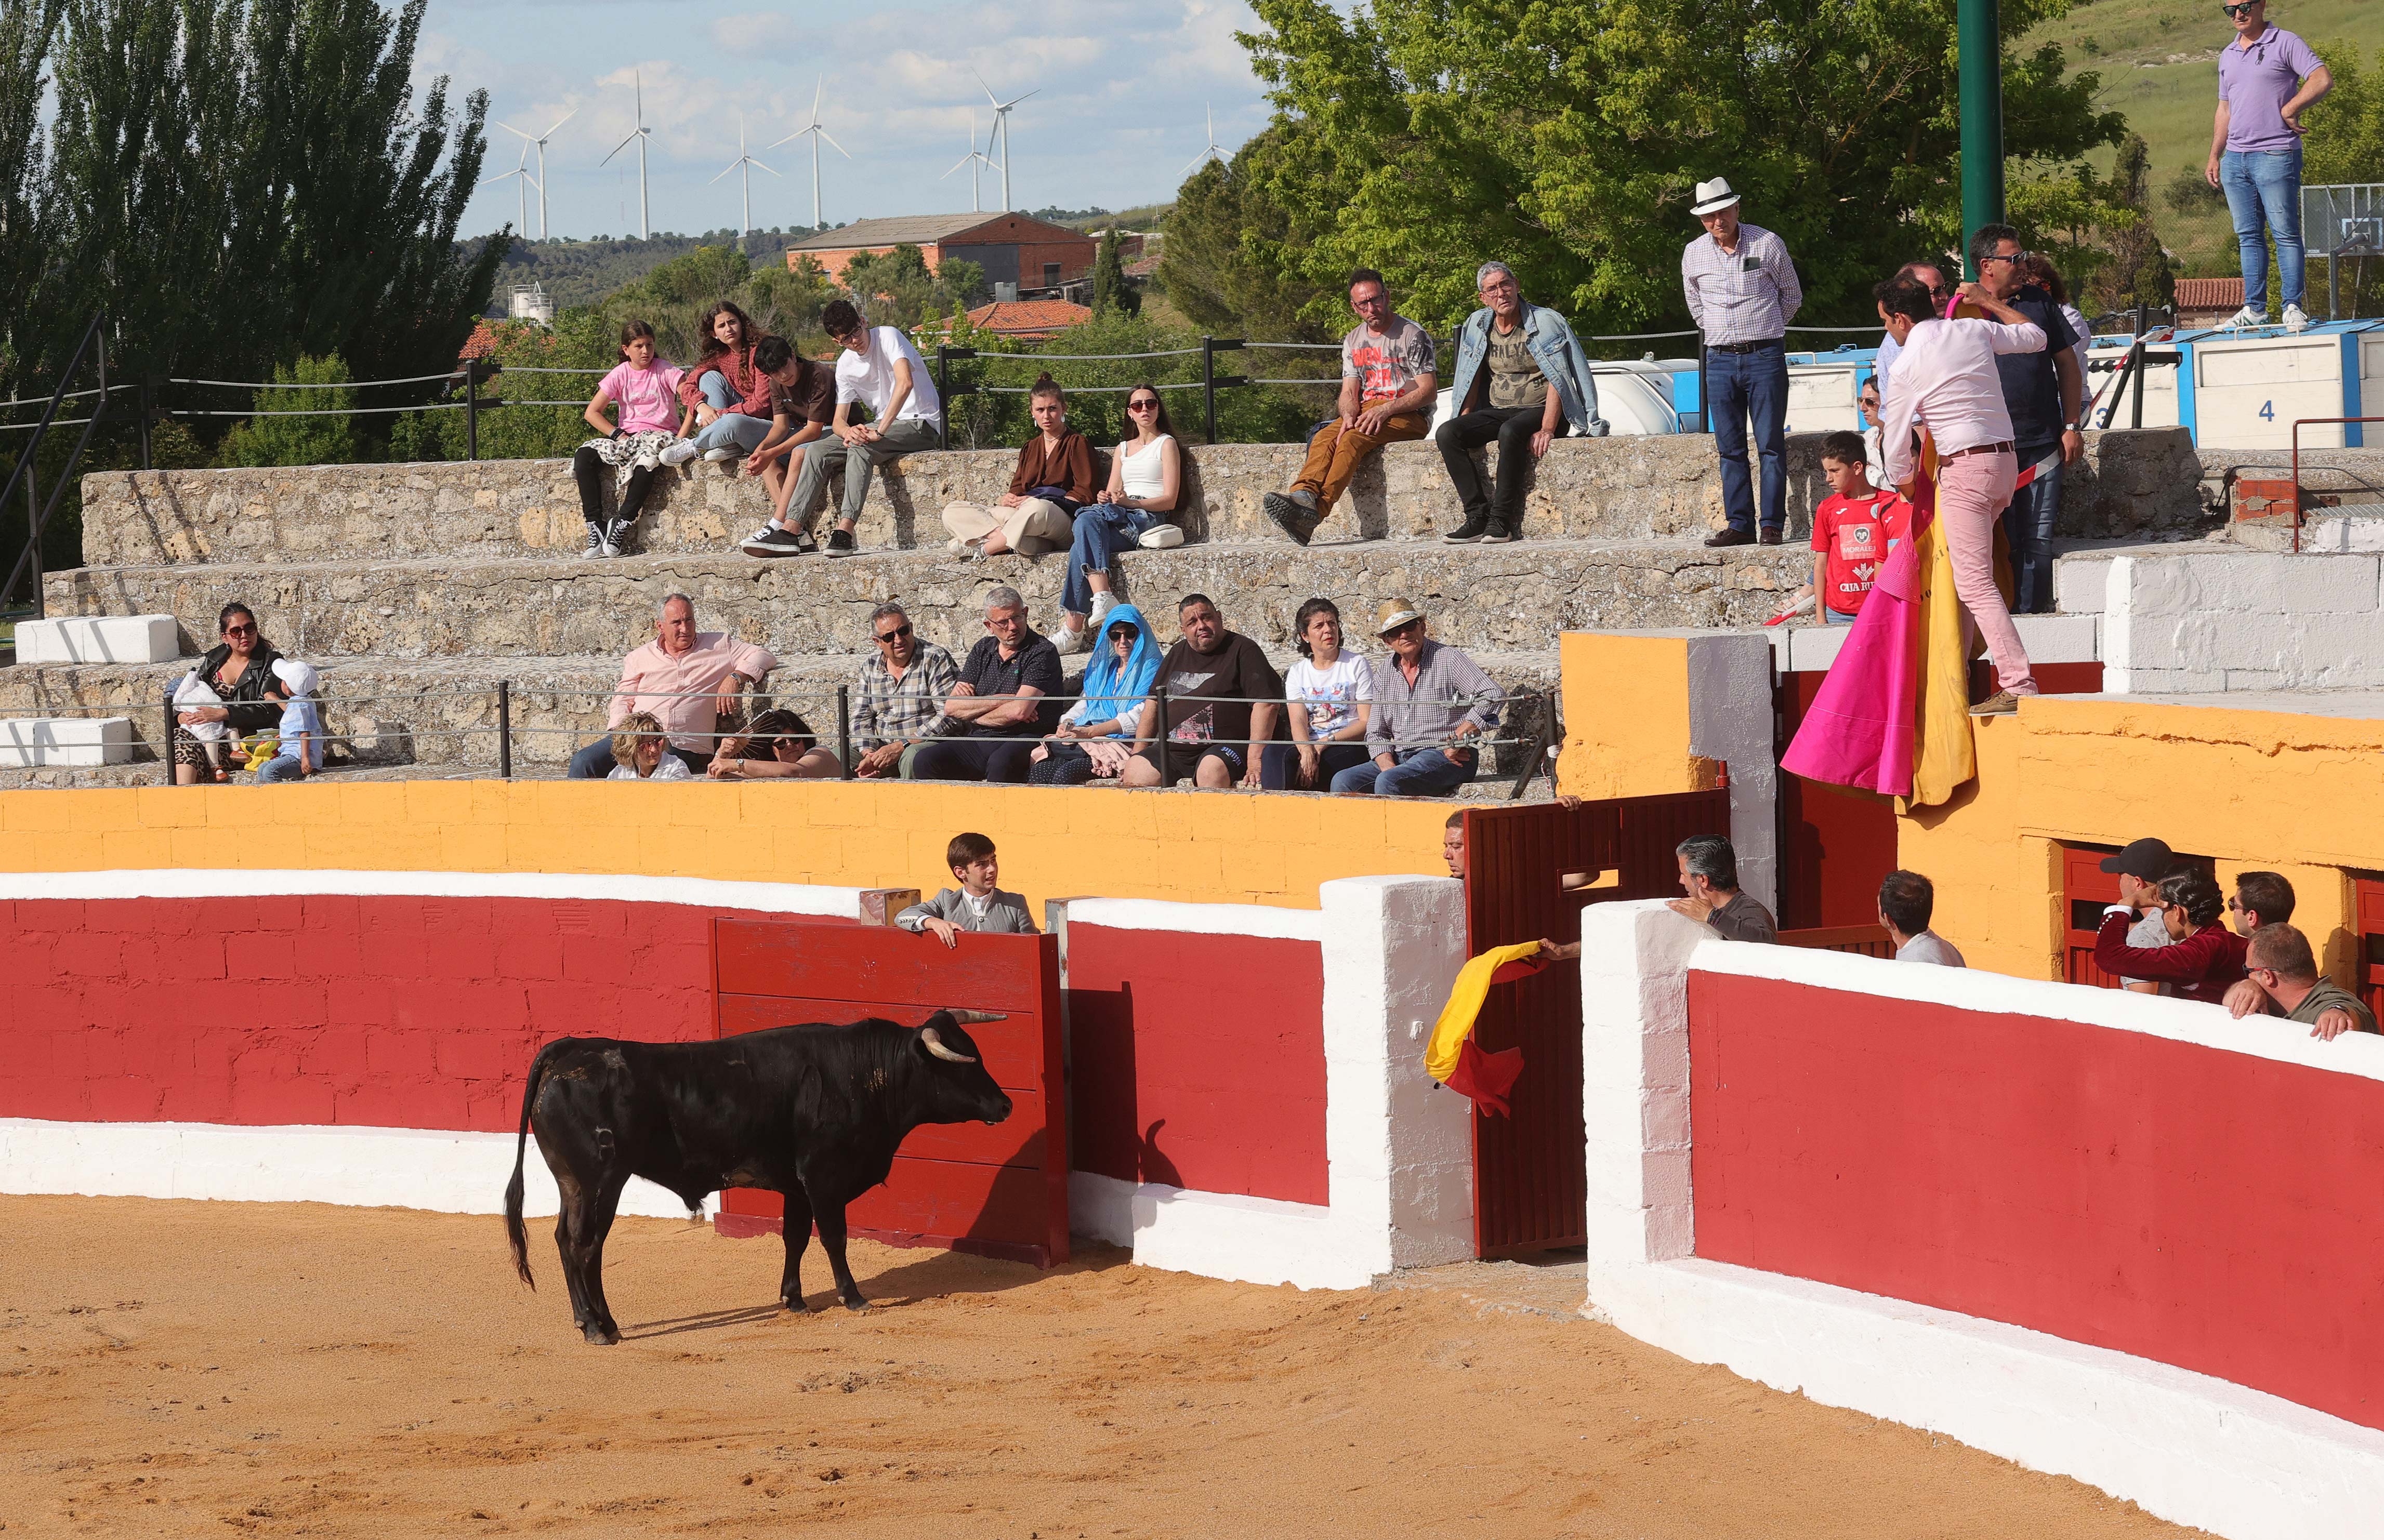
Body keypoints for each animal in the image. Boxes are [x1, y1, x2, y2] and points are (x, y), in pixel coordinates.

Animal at [508, 1006, 1010, 1344]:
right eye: (962, 1064)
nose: (1006, 1105)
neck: (865, 1073)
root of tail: (568, 1049)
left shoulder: (797, 1185)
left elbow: (795, 1238)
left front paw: (794, 1300)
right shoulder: (823, 1177)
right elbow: (834, 1238)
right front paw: (853, 1298)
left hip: (574, 1185)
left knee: (566, 1240)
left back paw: (595, 1321)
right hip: (601, 1181)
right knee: (586, 1246)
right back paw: (597, 1326)